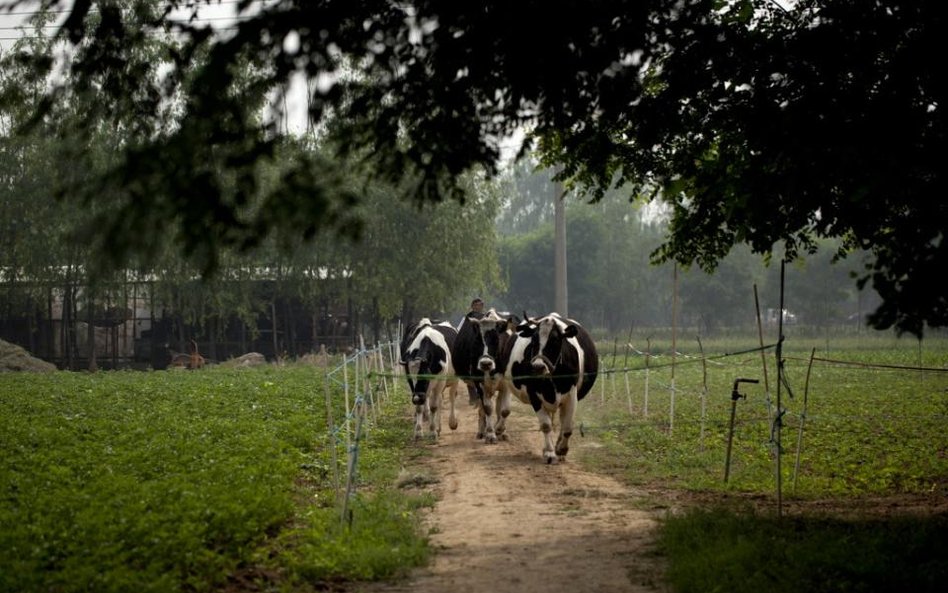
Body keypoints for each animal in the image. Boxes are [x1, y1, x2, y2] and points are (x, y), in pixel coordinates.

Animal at [454, 308, 520, 442]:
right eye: (477, 341)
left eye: (497, 339)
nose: (485, 363)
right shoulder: (480, 383)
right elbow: (488, 408)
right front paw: (490, 433)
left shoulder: (506, 383)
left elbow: (505, 410)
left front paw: (500, 429)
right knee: (482, 408)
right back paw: (481, 431)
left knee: (498, 406)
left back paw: (501, 431)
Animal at [500, 310, 596, 462]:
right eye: (533, 340)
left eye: (555, 341)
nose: (538, 367)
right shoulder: (533, 394)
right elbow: (546, 425)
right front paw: (550, 452)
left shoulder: (572, 395)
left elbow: (567, 426)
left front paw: (562, 449)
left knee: (562, 421)